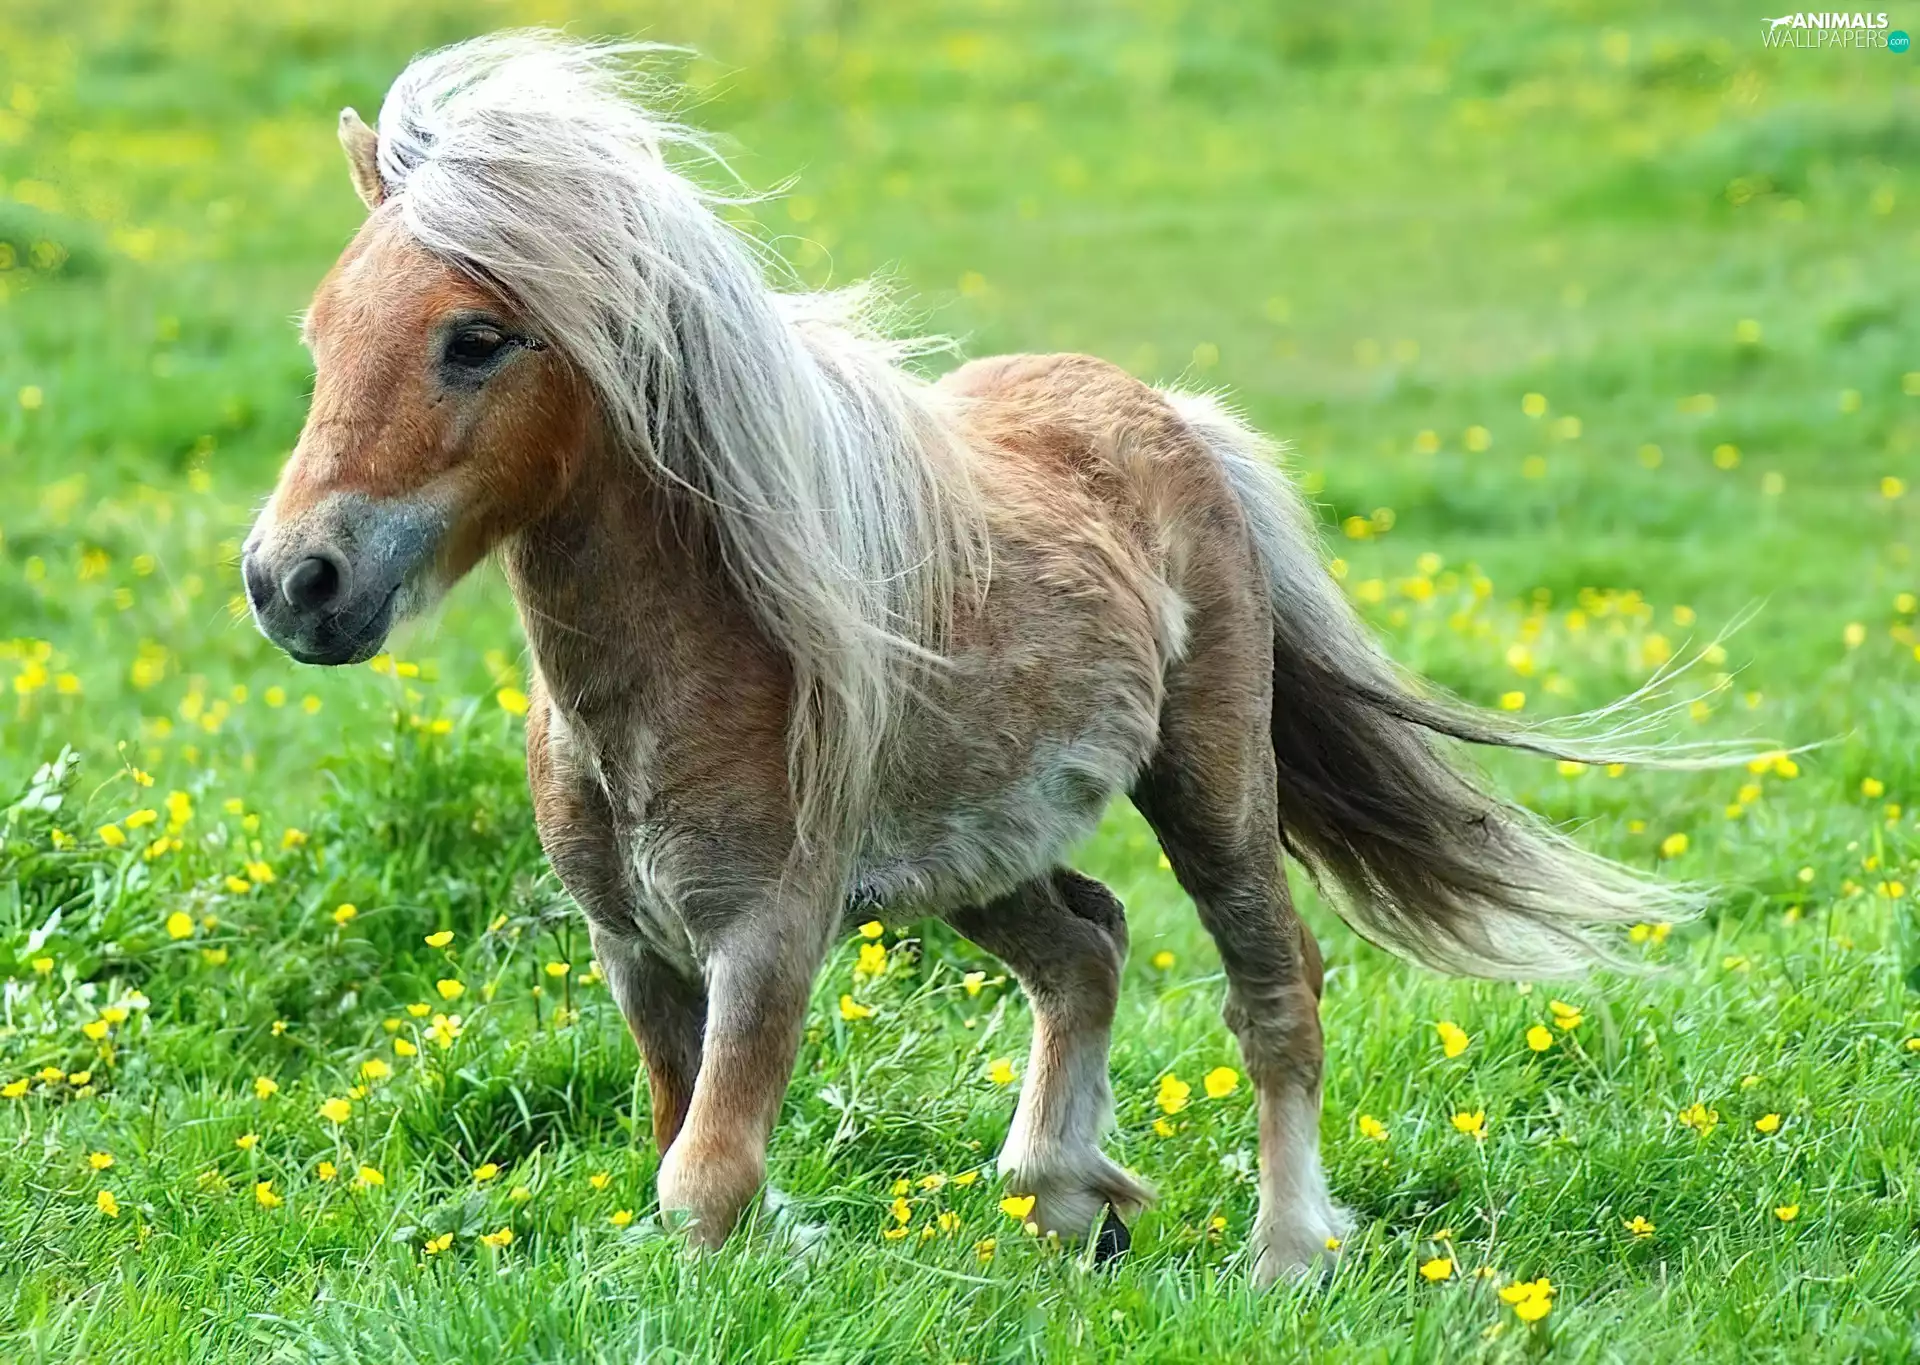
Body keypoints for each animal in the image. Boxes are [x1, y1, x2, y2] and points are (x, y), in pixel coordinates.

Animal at [242, 32, 1701, 1284]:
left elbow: (704, 1180)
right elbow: (680, 1149)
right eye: (317, 332)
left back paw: (1284, 1255)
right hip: (976, 855)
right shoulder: (635, 949)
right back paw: (1069, 1199)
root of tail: (1173, 415)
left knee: (1274, 987)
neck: (675, 677)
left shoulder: (767, 936)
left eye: (478, 338)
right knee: (1089, 945)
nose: (293, 582)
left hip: (1211, 788)